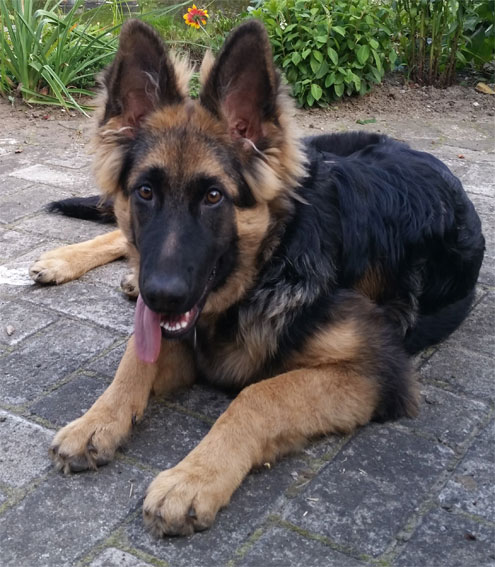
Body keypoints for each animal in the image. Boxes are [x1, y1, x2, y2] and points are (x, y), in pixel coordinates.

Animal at [29, 19, 484, 537]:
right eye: (145, 192)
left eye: (213, 197)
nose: (160, 296)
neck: (275, 261)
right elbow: (135, 360)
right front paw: (96, 420)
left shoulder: (376, 371)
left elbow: (257, 395)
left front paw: (194, 477)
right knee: (119, 240)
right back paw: (66, 261)